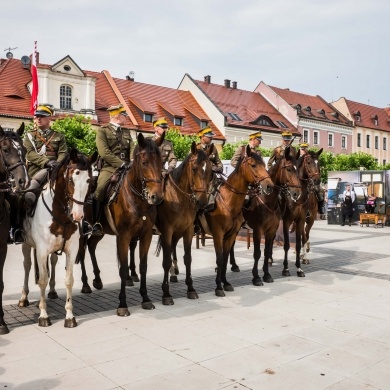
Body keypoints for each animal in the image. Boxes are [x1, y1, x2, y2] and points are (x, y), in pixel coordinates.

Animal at [17, 151, 91, 328]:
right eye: (71, 179)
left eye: (89, 181)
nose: (78, 215)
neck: (61, 214)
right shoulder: (42, 250)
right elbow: (42, 279)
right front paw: (43, 315)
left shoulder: (72, 249)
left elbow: (69, 280)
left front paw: (70, 316)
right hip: (26, 244)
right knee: (27, 265)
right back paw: (24, 297)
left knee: (53, 262)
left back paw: (51, 291)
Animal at [76, 134, 163, 316]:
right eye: (144, 163)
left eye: (161, 162)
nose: (156, 196)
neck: (137, 200)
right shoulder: (123, 237)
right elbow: (123, 269)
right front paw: (122, 304)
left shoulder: (146, 236)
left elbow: (143, 266)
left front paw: (145, 298)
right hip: (82, 229)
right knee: (82, 251)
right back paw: (86, 284)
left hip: (100, 231)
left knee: (91, 246)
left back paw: (97, 279)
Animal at [203, 145, 272, 296]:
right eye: (253, 165)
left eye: (265, 165)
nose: (269, 186)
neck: (227, 200)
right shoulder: (218, 234)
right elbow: (220, 258)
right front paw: (218, 287)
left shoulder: (231, 234)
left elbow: (224, 257)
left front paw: (225, 283)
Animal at [229, 145, 302, 284]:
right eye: (289, 169)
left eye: (298, 170)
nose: (296, 193)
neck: (268, 201)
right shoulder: (258, 230)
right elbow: (257, 253)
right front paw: (256, 277)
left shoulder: (271, 230)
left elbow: (267, 251)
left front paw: (267, 274)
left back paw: (234, 265)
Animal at [280, 148, 322, 278]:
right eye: (308, 162)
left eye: (319, 163)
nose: (317, 181)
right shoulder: (287, 220)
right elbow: (287, 244)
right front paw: (286, 268)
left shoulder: (306, 219)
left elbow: (303, 238)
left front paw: (303, 259)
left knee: (304, 236)